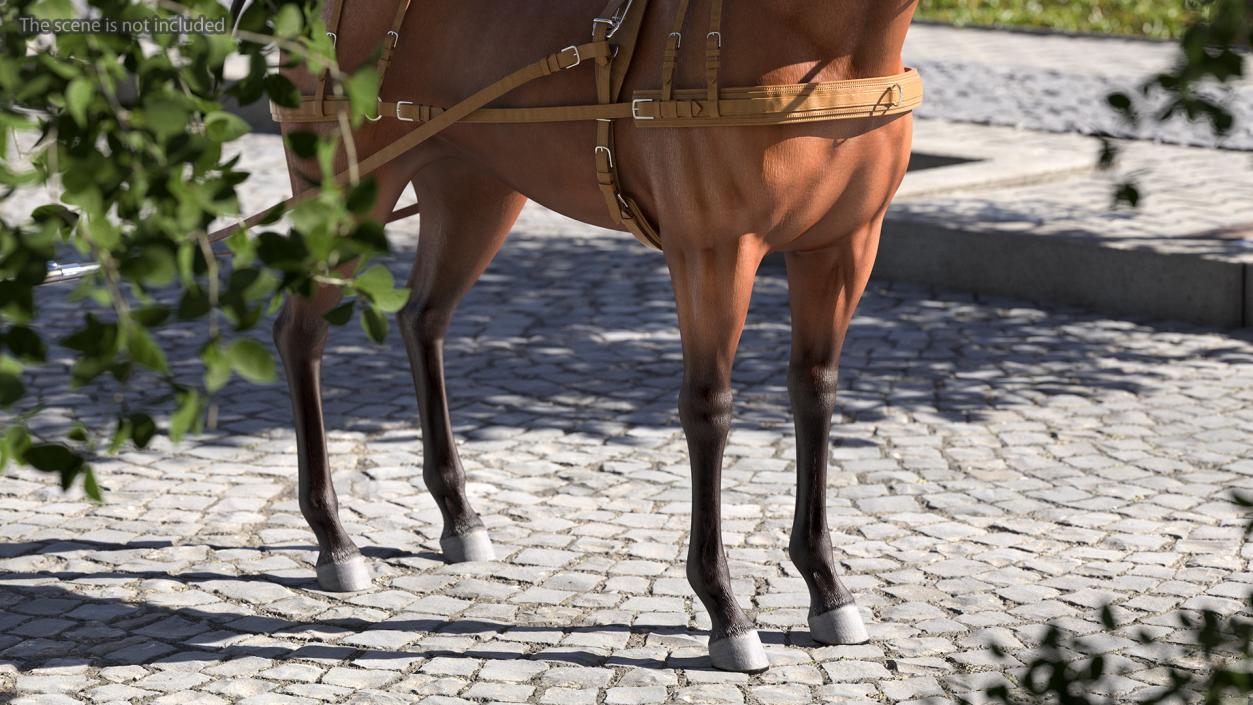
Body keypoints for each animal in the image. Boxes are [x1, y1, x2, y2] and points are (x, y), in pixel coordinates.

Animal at [271, 0, 922, 671]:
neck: (821, 41)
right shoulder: (712, 251)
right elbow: (709, 412)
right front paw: (725, 610)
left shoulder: (846, 244)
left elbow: (815, 395)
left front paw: (827, 586)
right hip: (347, 193)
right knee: (300, 333)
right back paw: (334, 539)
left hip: (473, 188)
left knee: (422, 318)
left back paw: (458, 516)